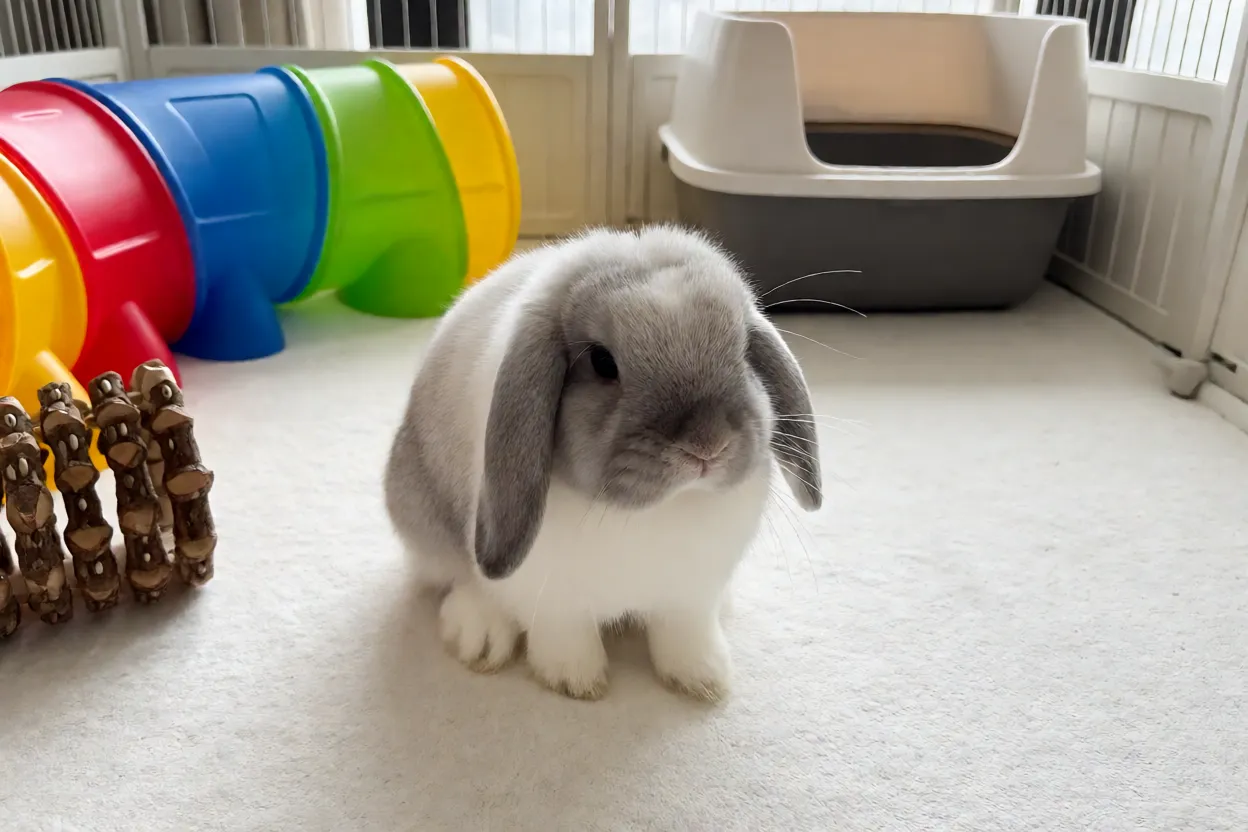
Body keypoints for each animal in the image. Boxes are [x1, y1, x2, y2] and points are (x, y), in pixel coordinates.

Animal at [384, 225, 821, 702]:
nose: (708, 445)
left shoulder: (687, 598)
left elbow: (685, 636)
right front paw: (575, 681)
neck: (659, 511)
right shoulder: (555, 602)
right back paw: (480, 637)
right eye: (601, 362)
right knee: (458, 576)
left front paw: (704, 680)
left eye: (743, 351)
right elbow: (565, 638)